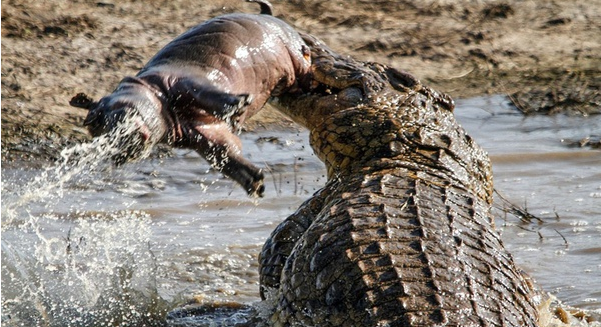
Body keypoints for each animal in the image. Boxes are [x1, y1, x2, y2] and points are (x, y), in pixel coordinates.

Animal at [71, 0, 310, 197]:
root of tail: (266, 14)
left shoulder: (179, 80)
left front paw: (239, 106)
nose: (115, 154)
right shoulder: (197, 133)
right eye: (92, 127)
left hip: (293, 52)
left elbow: (203, 92)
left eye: (96, 116)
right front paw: (255, 183)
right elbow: (224, 153)